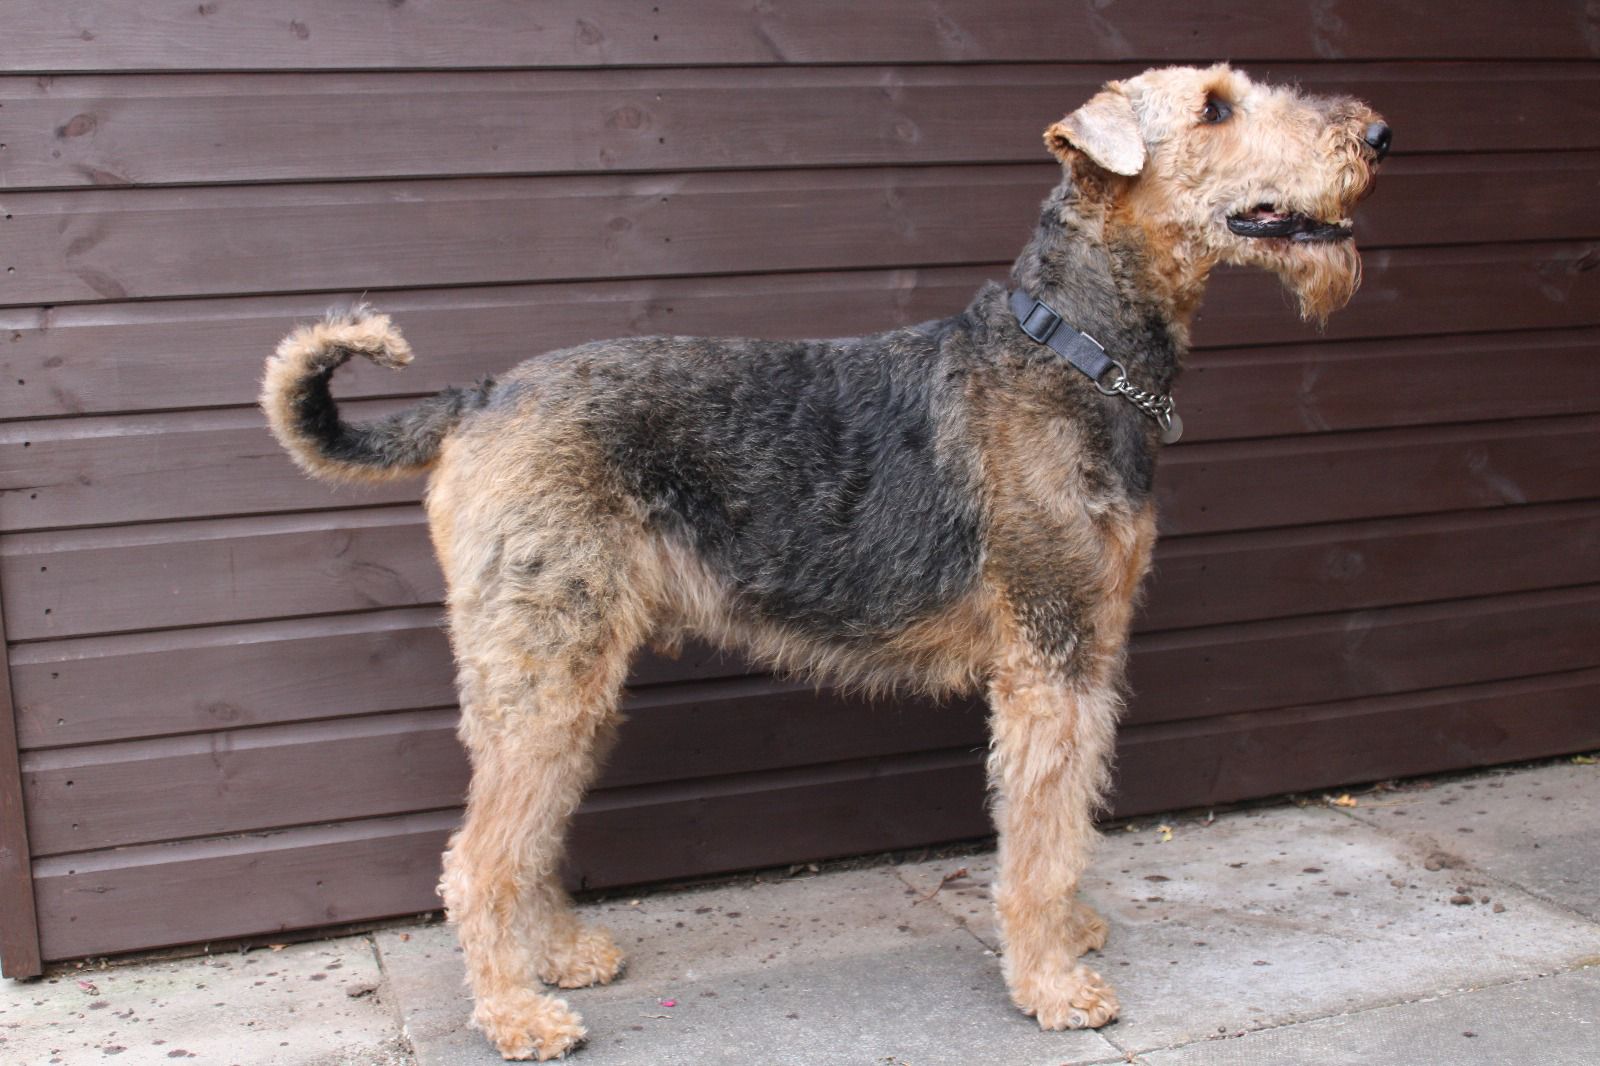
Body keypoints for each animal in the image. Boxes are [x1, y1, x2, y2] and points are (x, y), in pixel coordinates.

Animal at [262, 64, 1387, 1060]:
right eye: (1215, 107)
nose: (1375, 136)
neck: (1077, 350)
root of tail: (480, 395)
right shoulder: (1048, 658)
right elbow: (1037, 833)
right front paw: (1054, 986)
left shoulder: (1091, 648)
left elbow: (1066, 822)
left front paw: (1068, 937)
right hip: (547, 662)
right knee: (474, 859)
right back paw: (520, 1018)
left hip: (568, 678)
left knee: (524, 834)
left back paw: (563, 960)